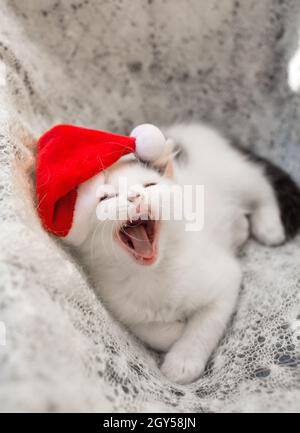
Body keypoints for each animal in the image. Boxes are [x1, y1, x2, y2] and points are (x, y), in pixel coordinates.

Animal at [65, 123, 300, 384]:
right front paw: (173, 331)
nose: (135, 197)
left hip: (235, 174)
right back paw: (240, 228)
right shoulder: (118, 303)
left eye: (149, 186)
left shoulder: (225, 279)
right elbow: (144, 327)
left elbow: (205, 324)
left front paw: (183, 361)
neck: (153, 274)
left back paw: (268, 226)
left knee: (262, 185)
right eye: (106, 197)